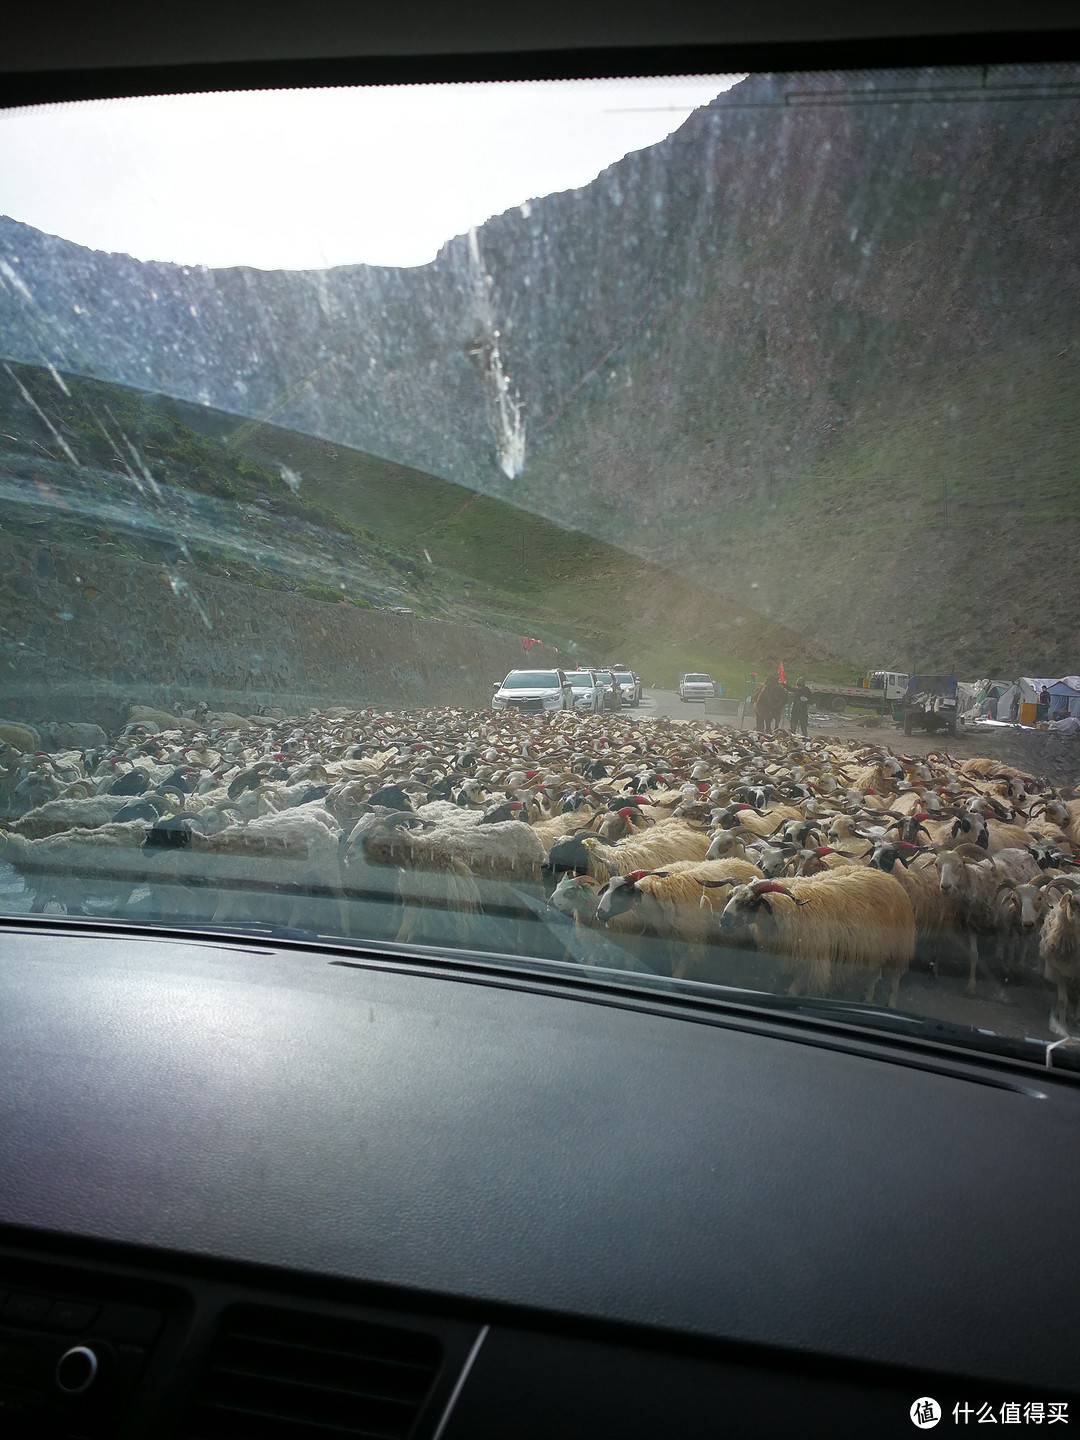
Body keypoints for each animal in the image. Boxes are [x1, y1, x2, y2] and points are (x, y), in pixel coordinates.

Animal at [720, 864, 915, 1013]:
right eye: (730, 896)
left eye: (751, 902)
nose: (723, 921)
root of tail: (887, 876)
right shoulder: (779, 956)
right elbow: (772, 985)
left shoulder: (810, 960)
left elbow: (792, 992)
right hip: (877, 945)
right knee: (874, 972)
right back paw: (867, 997)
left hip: (899, 944)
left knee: (895, 977)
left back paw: (891, 1003)